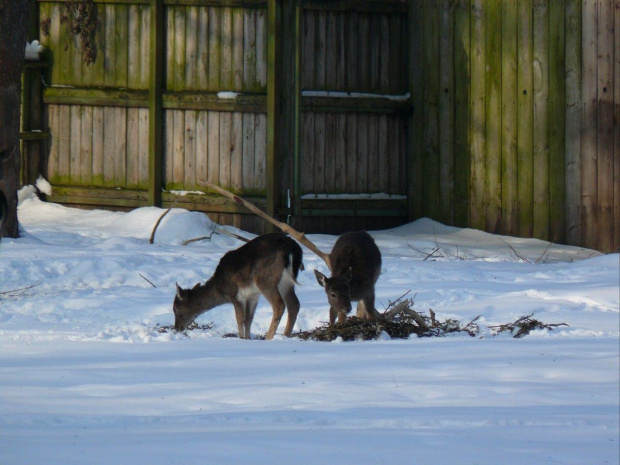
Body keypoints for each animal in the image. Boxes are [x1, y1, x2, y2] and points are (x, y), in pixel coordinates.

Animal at [172, 231, 302, 338]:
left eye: (175, 308)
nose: (177, 327)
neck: (221, 289)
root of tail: (292, 248)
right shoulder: (253, 295)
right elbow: (249, 319)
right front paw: (247, 338)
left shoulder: (236, 294)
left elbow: (239, 319)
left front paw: (240, 338)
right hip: (286, 283)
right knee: (294, 304)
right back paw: (286, 335)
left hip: (265, 279)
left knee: (279, 304)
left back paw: (269, 337)